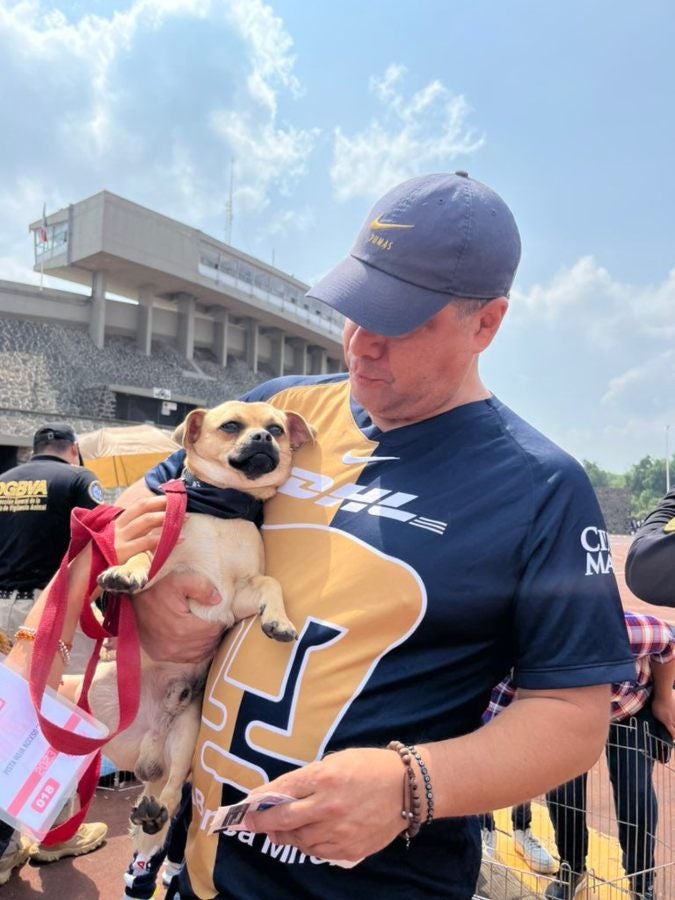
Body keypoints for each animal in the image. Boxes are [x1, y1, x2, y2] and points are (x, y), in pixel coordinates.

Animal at [71, 400, 314, 884]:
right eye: (232, 426)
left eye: (277, 429)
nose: (264, 438)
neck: (221, 508)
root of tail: (145, 753)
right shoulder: (165, 564)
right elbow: (142, 556)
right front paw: (122, 574)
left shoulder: (236, 597)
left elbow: (271, 583)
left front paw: (278, 620)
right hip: (88, 694)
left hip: (186, 734)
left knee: (168, 792)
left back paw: (152, 813)